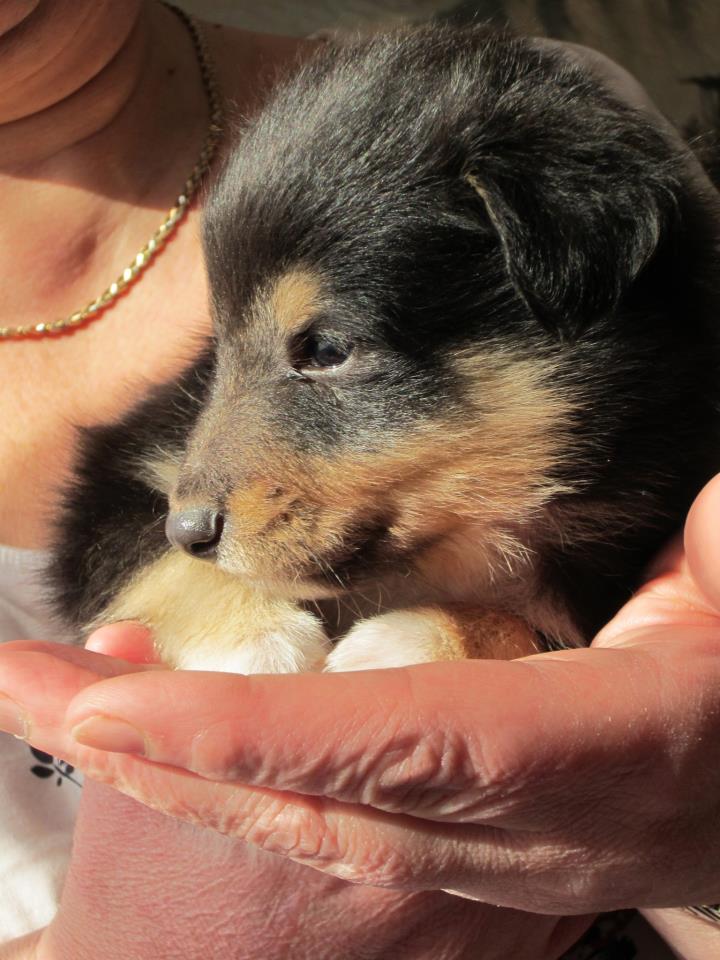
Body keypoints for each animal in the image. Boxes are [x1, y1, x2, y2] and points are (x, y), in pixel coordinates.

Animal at [47, 28, 720, 676]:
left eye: (325, 350)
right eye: (222, 347)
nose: (189, 529)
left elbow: (529, 625)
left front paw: (410, 640)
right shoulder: (117, 464)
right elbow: (143, 552)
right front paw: (252, 637)